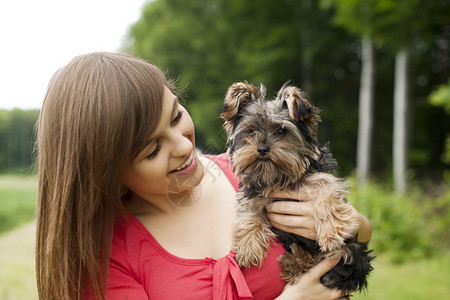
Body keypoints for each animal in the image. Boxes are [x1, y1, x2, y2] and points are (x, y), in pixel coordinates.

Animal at [221, 81, 372, 296]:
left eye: (281, 131)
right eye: (250, 131)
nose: (262, 149)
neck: (278, 176)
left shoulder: (322, 176)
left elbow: (327, 190)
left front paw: (331, 231)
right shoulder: (254, 189)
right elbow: (249, 211)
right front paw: (247, 246)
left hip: (354, 251)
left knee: (343, 257)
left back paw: (300, 260)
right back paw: (295, 262)